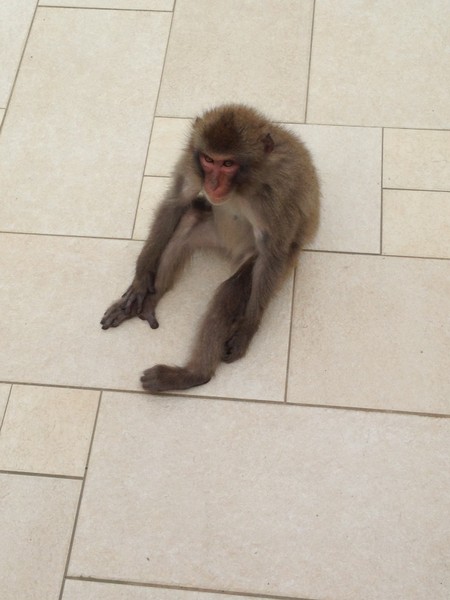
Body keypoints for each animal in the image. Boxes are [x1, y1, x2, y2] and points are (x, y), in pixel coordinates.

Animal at [101, 104, 320, 393]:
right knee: (187, 222)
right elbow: (176, 201)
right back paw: (149, 301)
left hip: (274, 260)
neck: (243, 184)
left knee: (233, 288)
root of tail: (231, 251)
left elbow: (272, 251)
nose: (213, 184)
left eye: (228, 163)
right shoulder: (191, 163)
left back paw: (192, 375)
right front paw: (140, 280)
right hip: (213, 232)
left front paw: (246, 330)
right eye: (208, 160)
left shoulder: (277, 193)